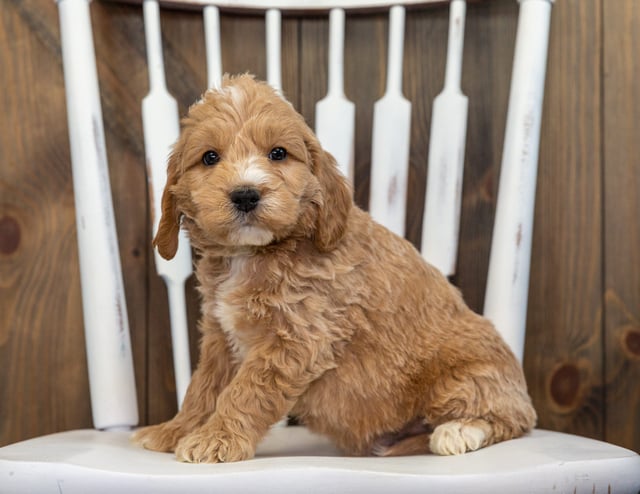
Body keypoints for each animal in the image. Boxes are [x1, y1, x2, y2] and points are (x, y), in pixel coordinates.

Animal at [131, 73, 536, 464]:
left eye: (278, 154)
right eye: (209, 157)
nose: (245, 194)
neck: (256, 251)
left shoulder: (298, 338)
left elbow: (245, 392)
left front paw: (216, 439)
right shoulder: (221, 336)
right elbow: (203, 388)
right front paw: (174, 431)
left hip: (463, 378)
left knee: (511, 419)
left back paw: (458, 431)